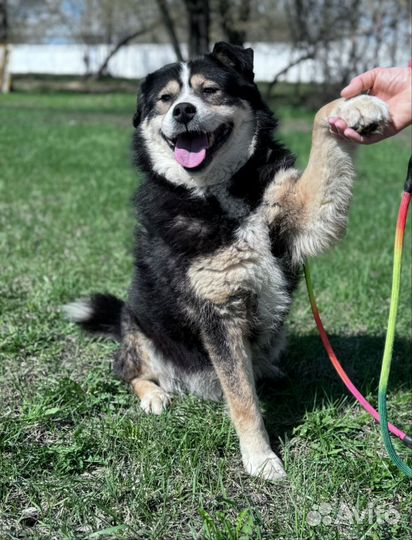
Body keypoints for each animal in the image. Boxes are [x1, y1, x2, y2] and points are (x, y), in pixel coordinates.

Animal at [64, 42, 390, 480]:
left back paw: (266, 368)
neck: (218, 193)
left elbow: (323, 124)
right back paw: (153, 394)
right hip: (142, 329)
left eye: (210, 90)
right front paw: (260, 457)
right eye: (165, 99)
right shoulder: (220, 312)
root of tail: (121, 318)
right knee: (126, 370)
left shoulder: (303, 218)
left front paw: (359, 104)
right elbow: (242, 399)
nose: (183, 111)